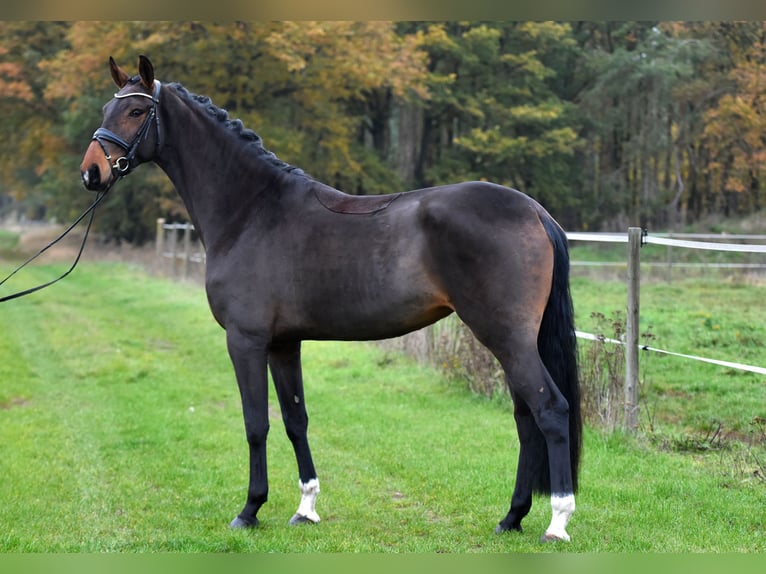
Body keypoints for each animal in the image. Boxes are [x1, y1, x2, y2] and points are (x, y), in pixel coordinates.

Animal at [79, 56, 584, 544]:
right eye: (106, 109)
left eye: (137, 111)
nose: (91, 172)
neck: (251, 211)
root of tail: (534, 211)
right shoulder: (284, 344)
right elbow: (294, 419)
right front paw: (305, 508)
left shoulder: (246, 341)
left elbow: (255, 423)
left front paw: (249, 510)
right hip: (511, 341)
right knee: (524, 417)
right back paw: (512, 517)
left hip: (507, 337)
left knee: (550, 411)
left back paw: (556, 522)